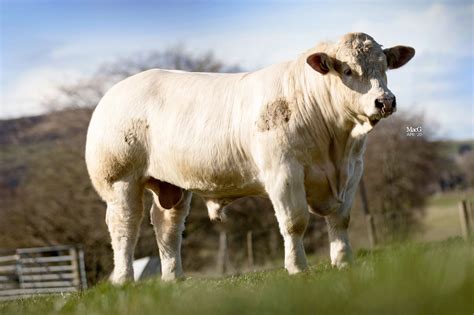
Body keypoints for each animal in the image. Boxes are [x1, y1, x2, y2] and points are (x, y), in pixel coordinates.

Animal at [86, 32, 414, 284]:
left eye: (385, 66)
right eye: (348, 71)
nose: (385, 101)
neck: (336, 145)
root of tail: (114, 92)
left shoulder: (353, 169)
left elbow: (341, 219)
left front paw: (343, 261)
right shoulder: (283, 171)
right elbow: (294, 222)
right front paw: (297, 268)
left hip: (172, 185)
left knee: (168, 226)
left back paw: (173, 278)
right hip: (120, 180)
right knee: (125, 227)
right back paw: (124, 279)